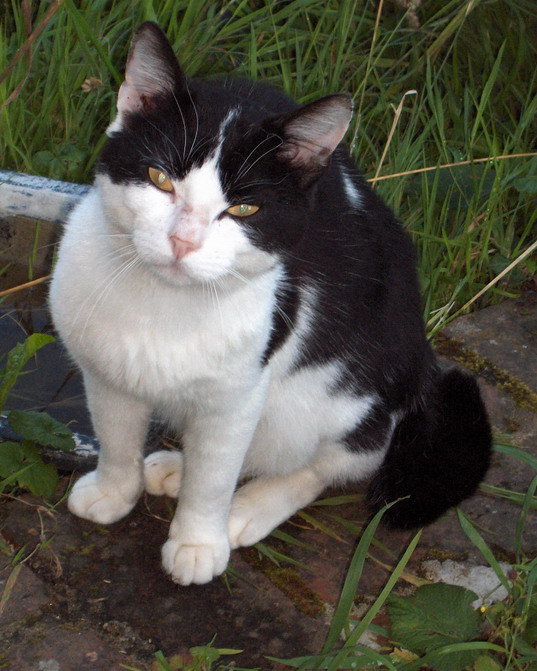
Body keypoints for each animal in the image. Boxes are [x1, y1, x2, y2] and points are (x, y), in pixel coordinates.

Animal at [50, 22, 490, 588]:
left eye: (243, 208)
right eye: (160, 178)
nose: (184, 241)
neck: (165, 302)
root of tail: (423, 369)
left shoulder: (240, 392)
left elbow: (215, 478)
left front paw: (198, 542)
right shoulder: (106, 370)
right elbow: (117, 437)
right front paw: (113, 491)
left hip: (341, 404)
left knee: (331, 461)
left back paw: (250, 507)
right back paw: (175, 465)